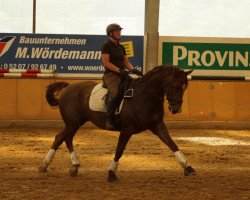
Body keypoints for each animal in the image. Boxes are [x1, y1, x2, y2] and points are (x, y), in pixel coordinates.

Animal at [38, 65, 195, 181]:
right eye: (176, 86)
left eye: (185, 87)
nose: (176, 109)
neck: (145, 96)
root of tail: (68, 88)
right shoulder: (126, 129)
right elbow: (119, 150)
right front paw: (111, 173)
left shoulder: (157, 125)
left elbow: (172, 144)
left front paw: (188, 167)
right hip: (73, 123)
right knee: (65, 138)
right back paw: (65, 165)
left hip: (76, 122)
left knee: (61, 138)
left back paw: (53, 165)